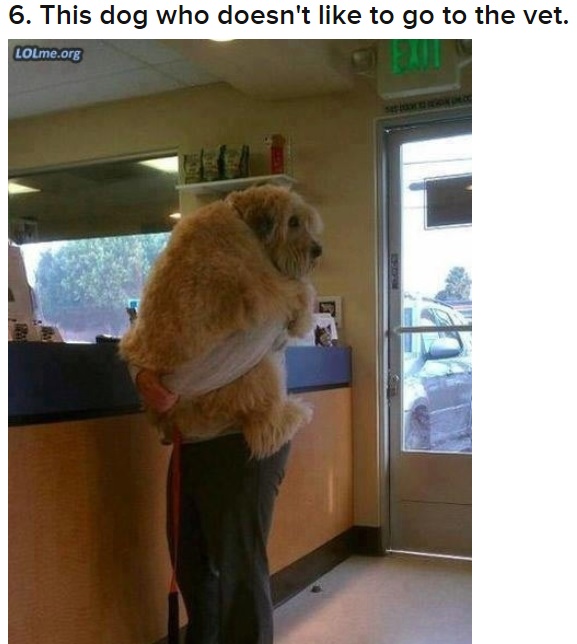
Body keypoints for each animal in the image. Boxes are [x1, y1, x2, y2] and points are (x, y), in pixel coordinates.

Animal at [119, 184, 323, 458]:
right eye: (293, 222)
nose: (318, 250)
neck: (243, 221)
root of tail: (171, 421)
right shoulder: (267, 288)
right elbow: (298, 289)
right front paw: (303, 316)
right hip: (258, 371)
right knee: (263, 428)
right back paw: (291, 416)